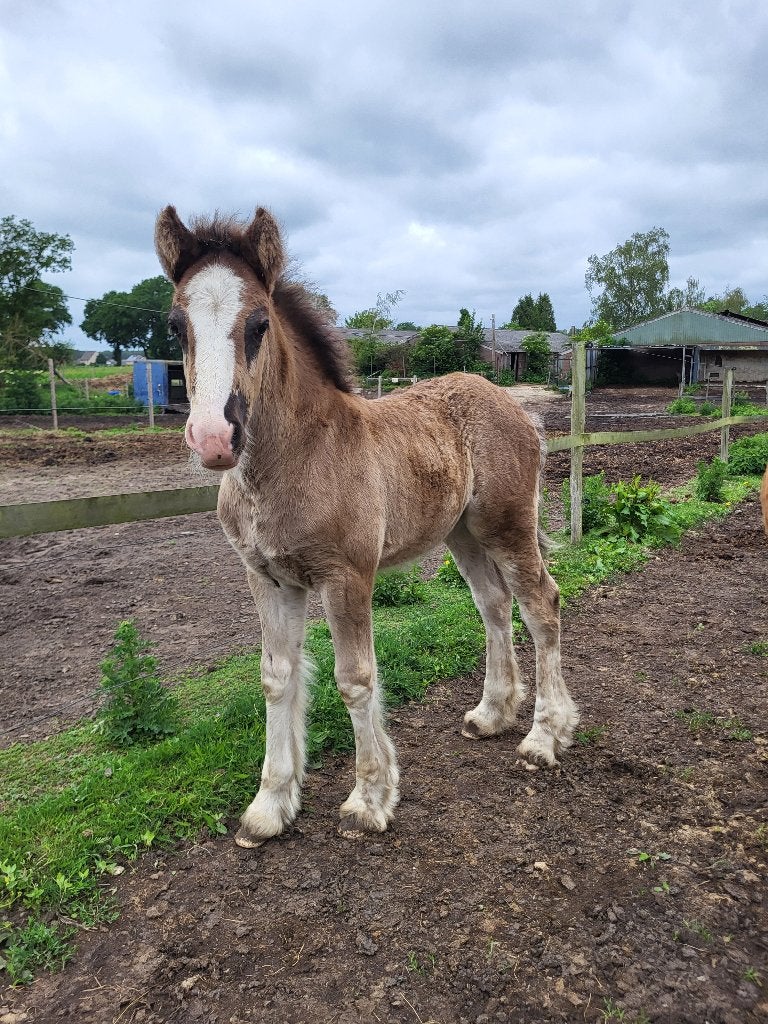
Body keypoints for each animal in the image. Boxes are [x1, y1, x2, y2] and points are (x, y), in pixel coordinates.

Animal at [155, 205, 578, 849]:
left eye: (258, 324)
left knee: (541, 604)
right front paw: (270, 805)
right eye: (177, 325)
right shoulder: (267, 578)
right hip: (461, 534)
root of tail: (515, 402)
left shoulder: (347, 576)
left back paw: (543, 737)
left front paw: (369, 799)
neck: (298, 457)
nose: (213, 439)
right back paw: (492, 714)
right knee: (493, 604)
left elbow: (355, 679)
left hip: (507, 524)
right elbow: (277, 677)